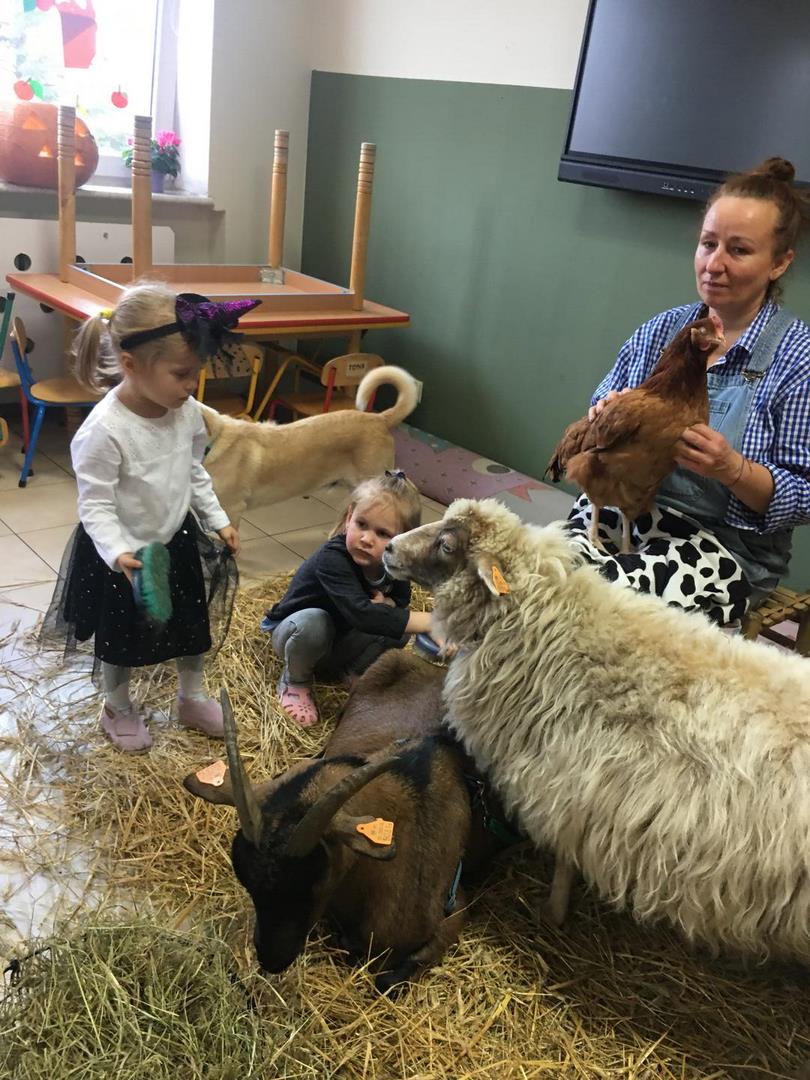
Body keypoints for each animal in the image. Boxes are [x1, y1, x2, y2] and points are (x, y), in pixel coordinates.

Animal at [183, 650, 509, 991]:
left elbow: (387, 979)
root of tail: (435, 669)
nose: (272, 960)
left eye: (315, 882)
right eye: (246, 881)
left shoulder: (456, 908)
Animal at [383, 497, 810, 963]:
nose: (389, 548)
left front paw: (551, 913)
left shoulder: (571, 789)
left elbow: (565, 862)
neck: (542, 624)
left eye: (446, 544)